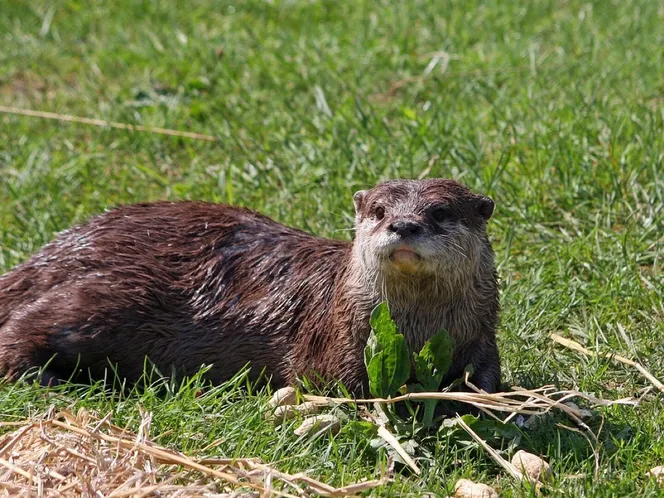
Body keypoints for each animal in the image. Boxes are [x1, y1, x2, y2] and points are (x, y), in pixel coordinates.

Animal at [0, 179, 500, 395]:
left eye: (439, 212)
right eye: (378, 211)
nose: (403, 224)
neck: (417, 330)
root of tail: (61, 248)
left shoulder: (481, 333)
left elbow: (487, 378)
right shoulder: (333, 340)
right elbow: (336, 385)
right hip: (106, 296)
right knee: (20, 331)